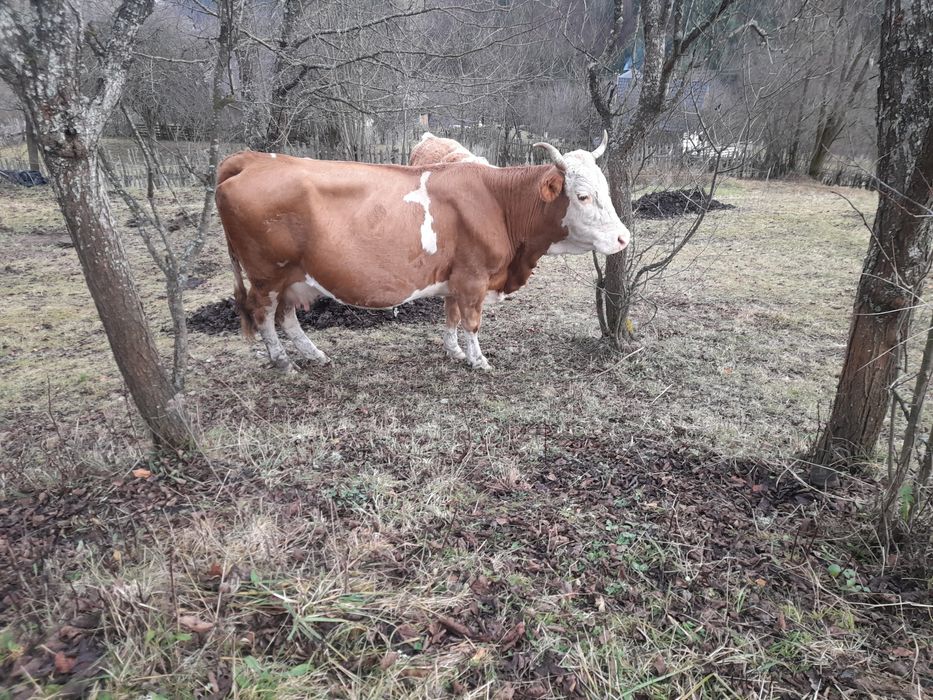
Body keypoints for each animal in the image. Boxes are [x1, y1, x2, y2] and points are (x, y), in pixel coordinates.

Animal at [214, 131, 630, 372]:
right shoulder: (474, 277)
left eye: (606, 189)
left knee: (286, 317)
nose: (624, 238)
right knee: (264, 316)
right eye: (582, 195)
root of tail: (251, 159)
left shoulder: (455, 277)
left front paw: (455, 353)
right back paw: (284, 362)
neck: (497, 201)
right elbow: (471, 322)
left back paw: (313, 355)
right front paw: (479, 360)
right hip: (267, 274)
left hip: (291, 276)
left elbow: (450, 318)